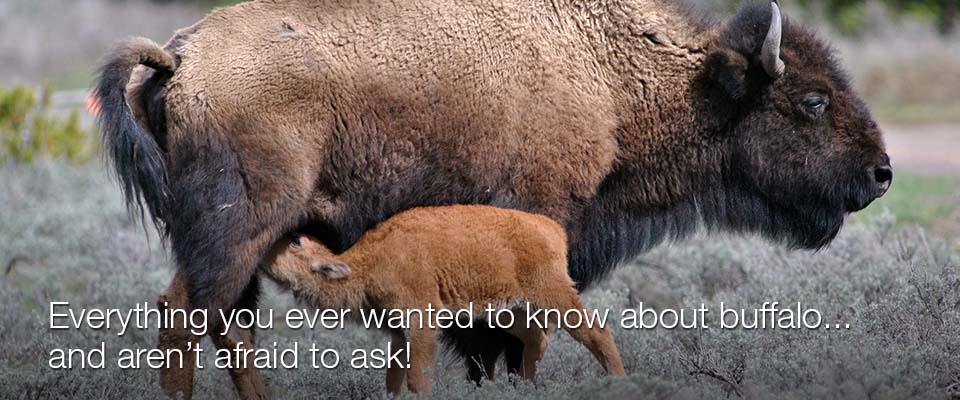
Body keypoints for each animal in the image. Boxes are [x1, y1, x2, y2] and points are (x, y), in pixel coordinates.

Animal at [258, 205, 628, 396]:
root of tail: (551, 228)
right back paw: (524, 386)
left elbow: (417, 377)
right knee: (535, 338)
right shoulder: (398, 334)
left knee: (595, 332)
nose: (262, 249)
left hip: (554, 296)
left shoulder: (420, 323)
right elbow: (393, 379)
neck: (369, 261)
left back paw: (619, 380)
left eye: (296, 241)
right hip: (509, 312)